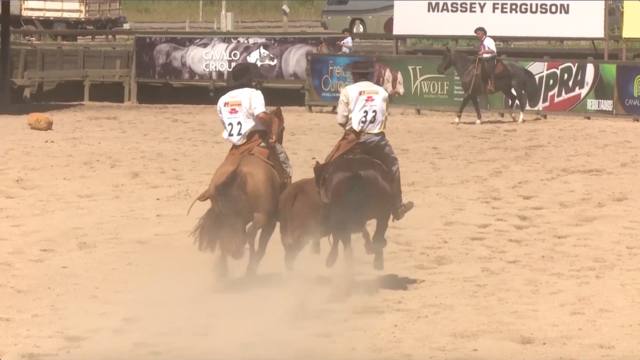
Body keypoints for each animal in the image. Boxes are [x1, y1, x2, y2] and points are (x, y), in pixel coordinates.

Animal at [191, 108, 286, 278]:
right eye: (283, 129)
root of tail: (239, 170)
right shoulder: (271, 221)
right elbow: (261, 245)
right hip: (263, 217)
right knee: (251, 235)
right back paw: (249, 268)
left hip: (224, 216)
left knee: (226, 234)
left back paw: (224, 270)